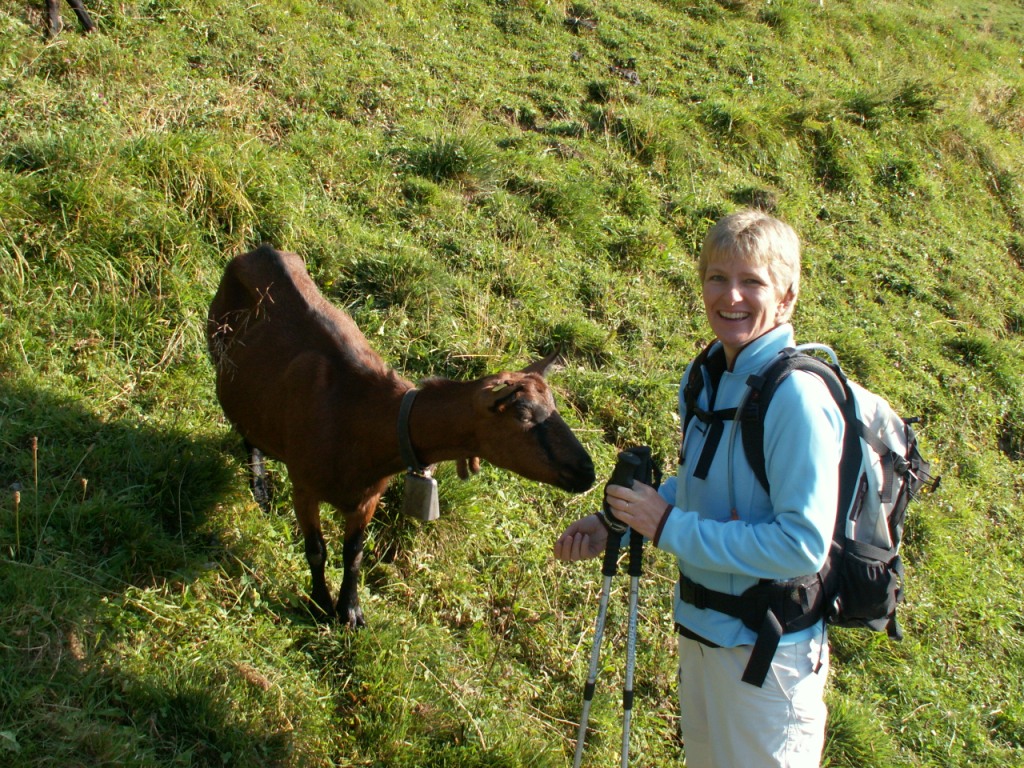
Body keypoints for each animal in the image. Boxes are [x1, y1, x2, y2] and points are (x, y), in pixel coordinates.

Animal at [207, 249, 598, 626]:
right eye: (523, 415)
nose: (588, 472)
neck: (357, 416)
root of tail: (259, 249)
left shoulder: (369, 497)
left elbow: (354, 553)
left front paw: (350, 611)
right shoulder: (303, 486)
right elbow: (317, 550)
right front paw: (320, 604)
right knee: (246, 430)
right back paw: (259, 488)